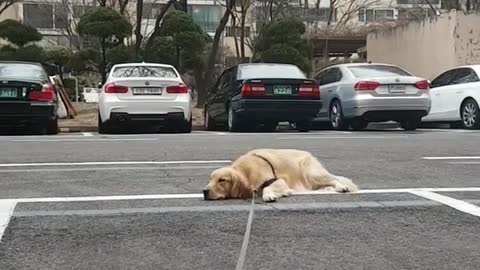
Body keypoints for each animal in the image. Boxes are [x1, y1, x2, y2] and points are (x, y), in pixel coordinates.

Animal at [202, 148, 356, 202]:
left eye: (222, 180)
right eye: (210, 179)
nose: (204, 191)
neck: (246, 171)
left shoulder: (278, 180)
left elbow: (266, 187)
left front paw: (268, 195)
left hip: (313, 173)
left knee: (335, 179)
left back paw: (342, 187)